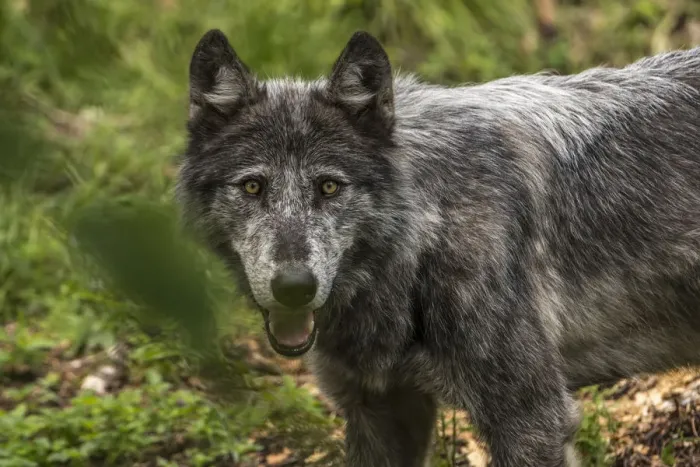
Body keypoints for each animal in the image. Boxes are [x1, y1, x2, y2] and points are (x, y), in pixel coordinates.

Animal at [176, 29, 700, 467]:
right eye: (252, 187)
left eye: (328, 187)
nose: (293, 288)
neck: (422, 238)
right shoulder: (381, 412)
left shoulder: (531, 419)